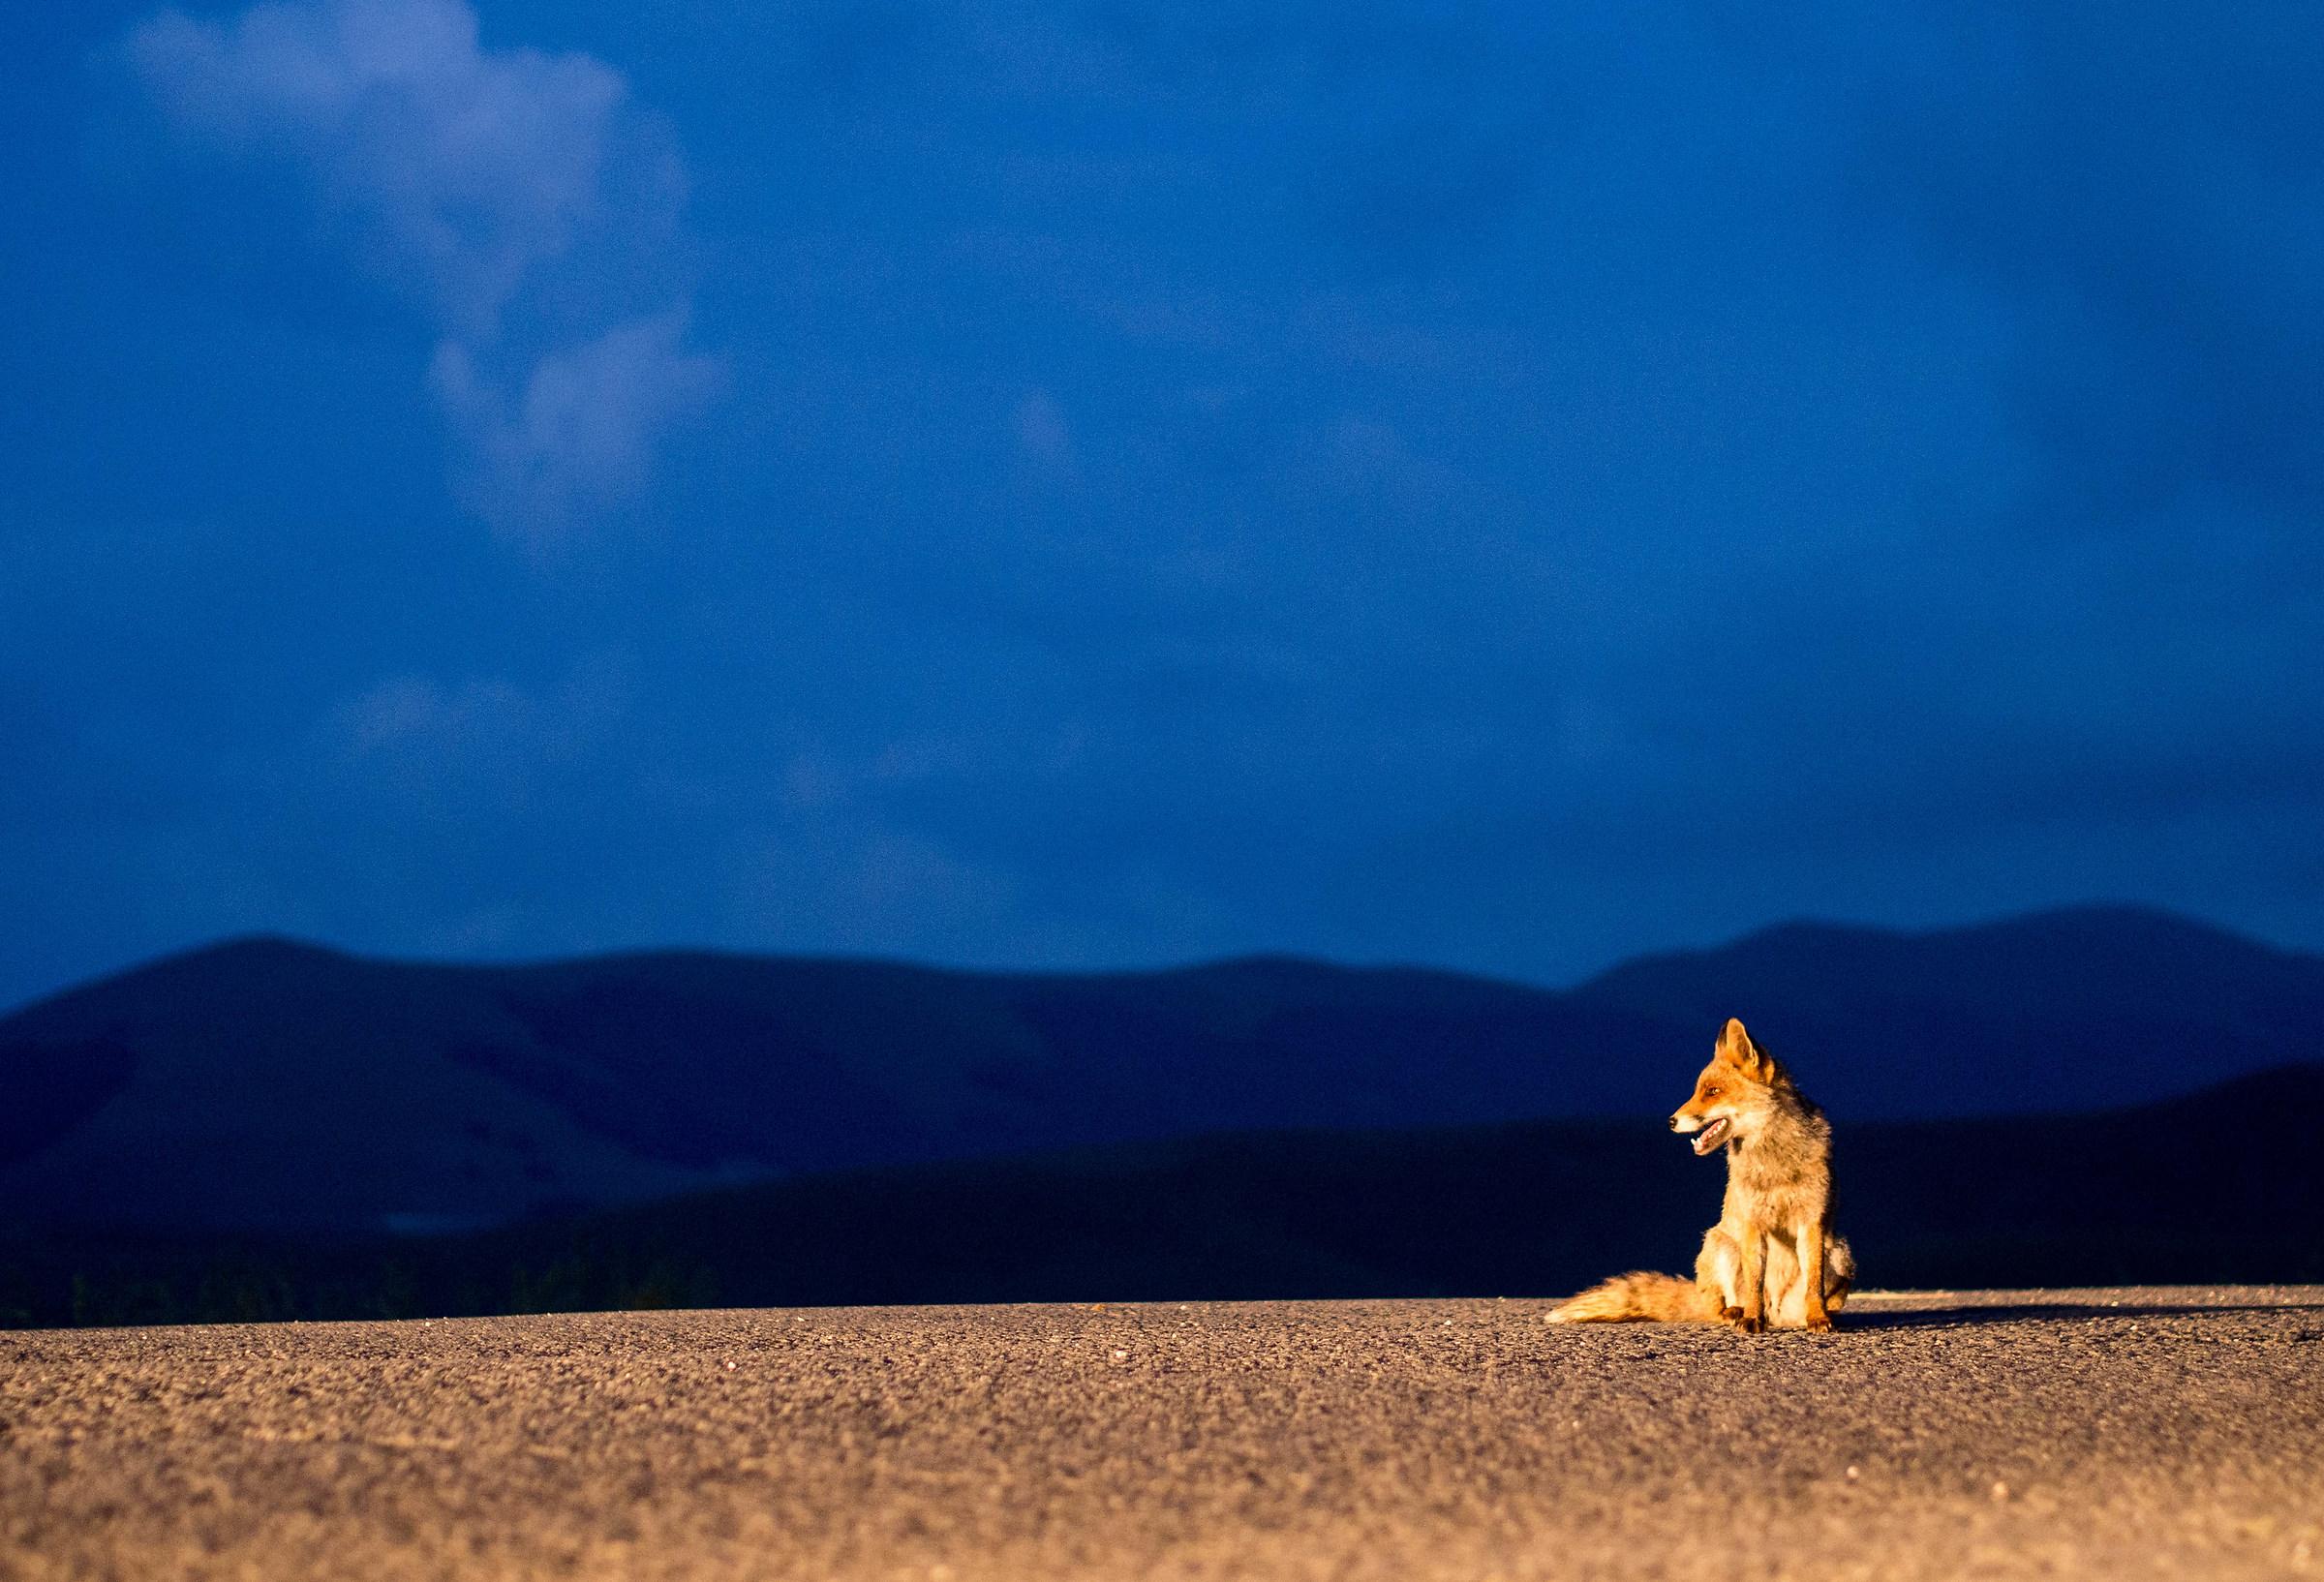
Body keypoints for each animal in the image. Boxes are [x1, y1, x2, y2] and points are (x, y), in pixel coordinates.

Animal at [1549, 1017, 1853, 1333]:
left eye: (1713, 1092)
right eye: (1699, 1090)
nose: (1670, 1122)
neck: (1774, 1163)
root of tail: (1777, 1314)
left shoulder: (1811, 1221)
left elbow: (1813, 1284)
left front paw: (1817, 1317)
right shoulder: (1753, 1223)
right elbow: (1755, 1283)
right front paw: (1752, 1319)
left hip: (1840, 1252)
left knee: (1823, 1296)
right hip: (1720, 1245)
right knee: (1721, 1304)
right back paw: (1737, 1313)